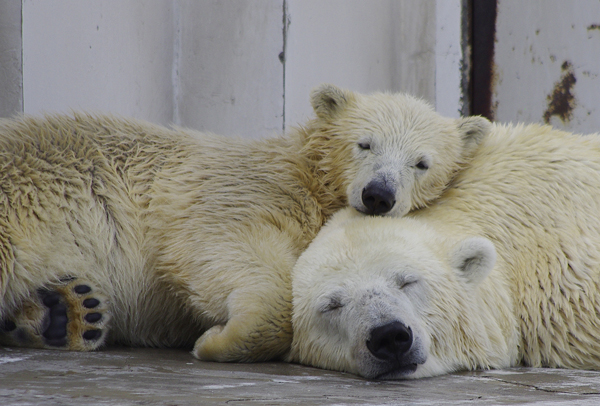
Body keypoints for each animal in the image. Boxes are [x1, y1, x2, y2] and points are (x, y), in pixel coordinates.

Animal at [0, 85, 488, 362]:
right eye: (364, 143)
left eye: (422, 163)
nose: (378, 195)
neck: (306, 177)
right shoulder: (240, 192)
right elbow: (220, 248)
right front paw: (217, 340)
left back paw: (67, 312)